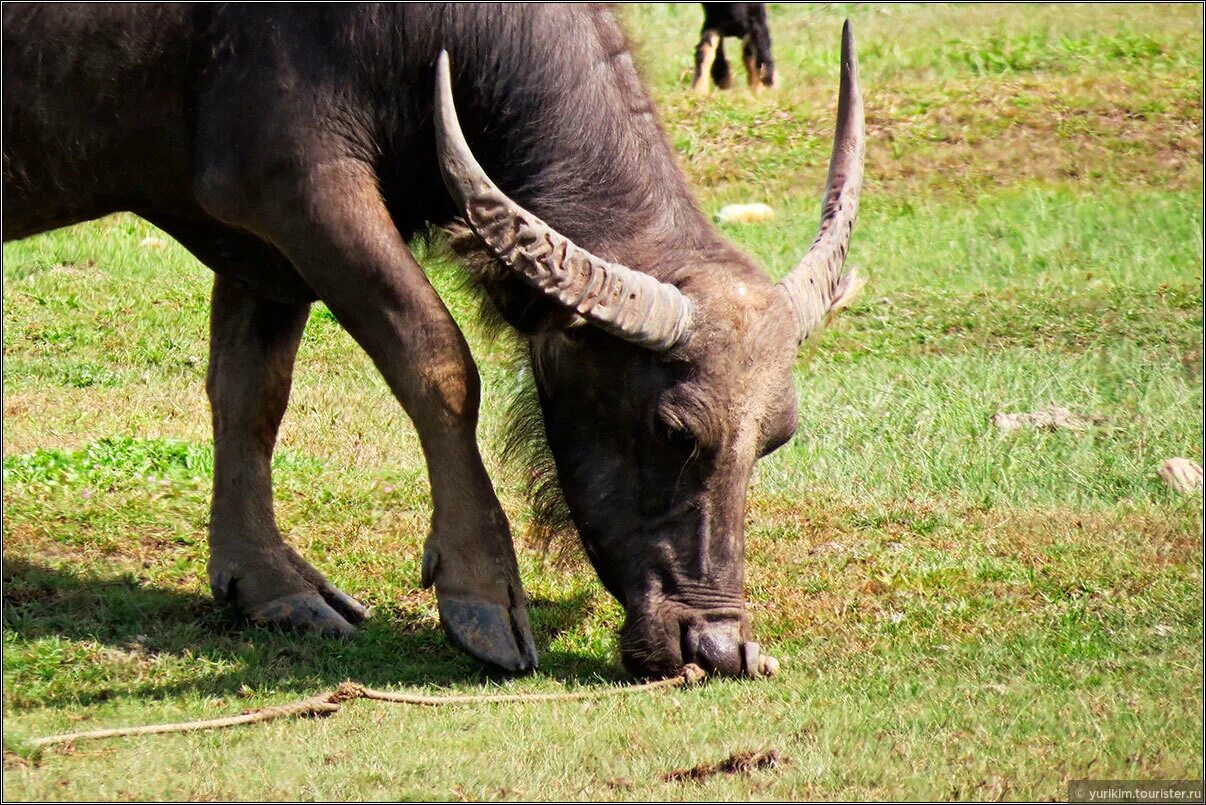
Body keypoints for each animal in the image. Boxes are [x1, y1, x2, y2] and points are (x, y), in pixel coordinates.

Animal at [2, 4, 868, 680]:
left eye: (774, 440)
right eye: (671, 430)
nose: (716, 645)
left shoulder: (261, 249)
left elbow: (250, 394)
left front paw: (270, 584)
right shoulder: (301, 190)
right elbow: (438, 359)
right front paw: (483, 592)